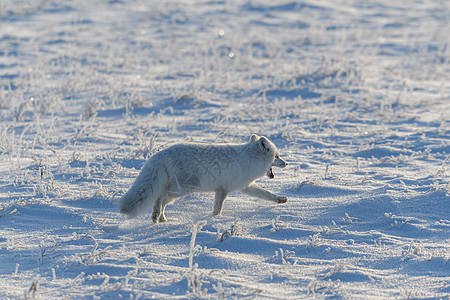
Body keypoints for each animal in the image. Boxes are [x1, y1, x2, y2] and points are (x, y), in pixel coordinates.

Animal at [118, 135, 288, 221]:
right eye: (277, 156)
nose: (287, 163)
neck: (249, 158)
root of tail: (159, 155)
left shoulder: (243, 186)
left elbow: (267, 194)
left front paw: (281, 199)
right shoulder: (223, 189)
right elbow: (218, 209)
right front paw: (215, 220)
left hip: (179, 191)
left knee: (163, 200)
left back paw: (161, 218)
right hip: (183, 188)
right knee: (160, 196)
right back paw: (156, 215)